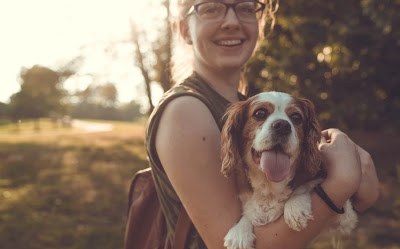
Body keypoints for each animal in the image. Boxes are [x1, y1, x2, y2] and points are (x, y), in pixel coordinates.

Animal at [222, 92, 356, 249]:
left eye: (296, 117)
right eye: (260, 113)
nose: (282, 126)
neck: (271, 186)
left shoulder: (346, 218)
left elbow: (307, 185)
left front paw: (295, 206)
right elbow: (250, 212)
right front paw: (240, 232)